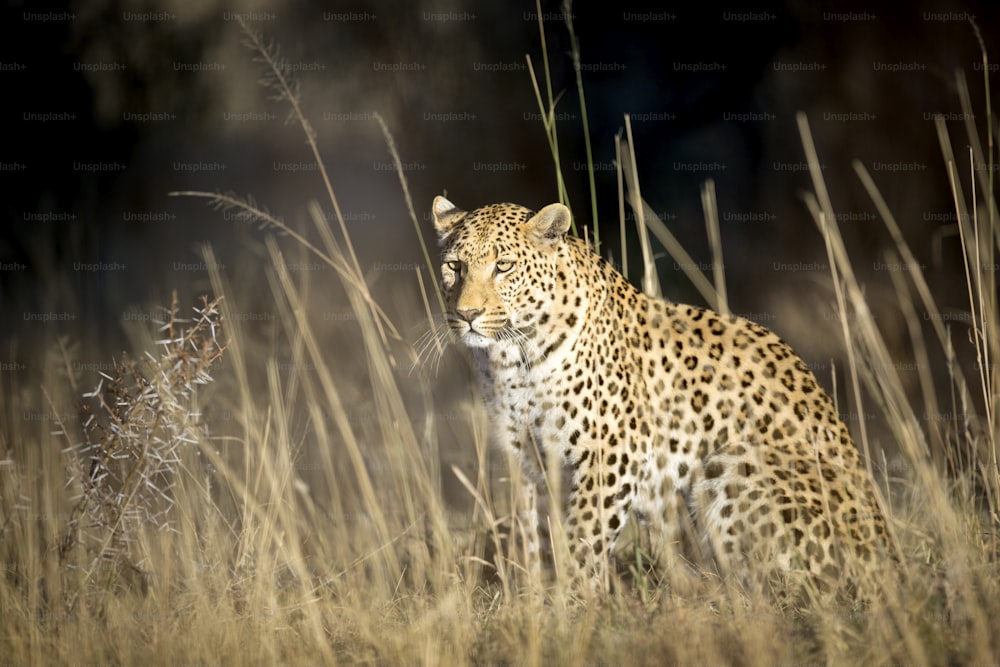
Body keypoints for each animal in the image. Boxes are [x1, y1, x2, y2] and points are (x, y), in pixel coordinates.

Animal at [434, 193, 896, 604]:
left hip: (730, 464)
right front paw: (534, 601)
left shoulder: (610, 452)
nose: (467, 315)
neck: (511, 359)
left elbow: (585, 536)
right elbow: (536, 536)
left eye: (503, 266)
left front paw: (577, 603)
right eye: (454, 266)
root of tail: (887, 558)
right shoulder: (528, 458)